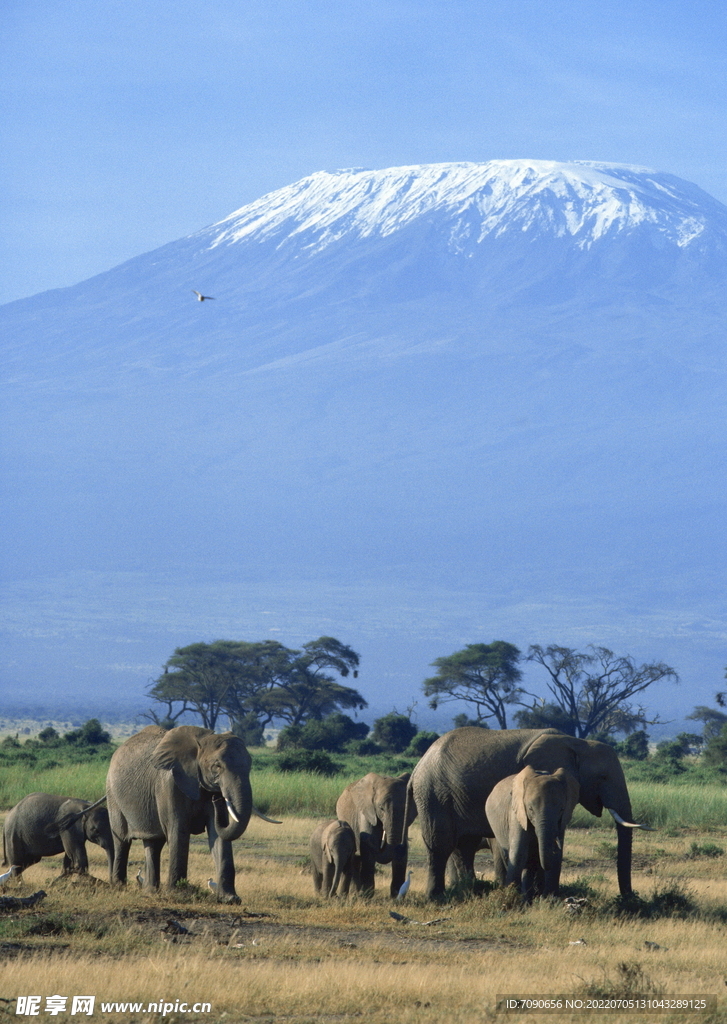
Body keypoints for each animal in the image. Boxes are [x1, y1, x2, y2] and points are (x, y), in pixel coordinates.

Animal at [105, 724, 278, 901]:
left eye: (249, 765)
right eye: (217, 766)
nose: (217, 799)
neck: (200, 744)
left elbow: (217, 834)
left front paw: (230, 899)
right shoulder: (169, 785)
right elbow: (178, 829)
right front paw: (178, 894)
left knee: (153, 843)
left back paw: (150, 891)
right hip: (112, 794)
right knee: (122, 840)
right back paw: (119, 886)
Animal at [487, 765, 585, 901]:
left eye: (561, 809)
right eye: (530, 809)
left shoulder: (561, 822)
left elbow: (556, 857)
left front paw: (550, 900)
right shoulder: (517, 814)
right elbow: (518, 854)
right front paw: (512, 898)